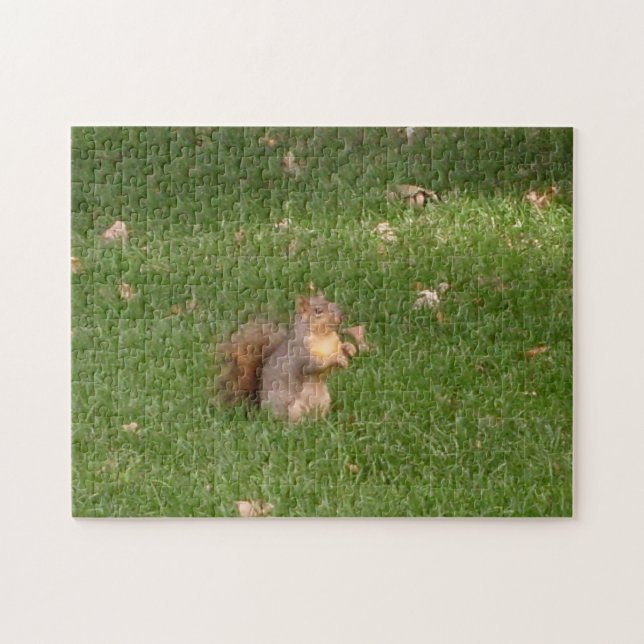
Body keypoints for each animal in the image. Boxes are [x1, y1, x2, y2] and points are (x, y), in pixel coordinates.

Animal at [217, 294, 358, 423]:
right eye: (318, 311)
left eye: (332, 302)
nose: (342, 315)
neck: (324, 336)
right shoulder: (301, 354)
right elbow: (315, 366)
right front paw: (335, 358)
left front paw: (349, 348)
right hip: (292, 408)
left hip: (324, 400)